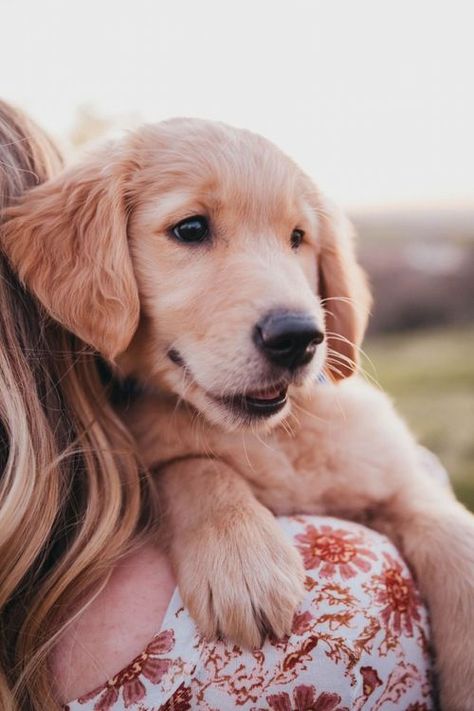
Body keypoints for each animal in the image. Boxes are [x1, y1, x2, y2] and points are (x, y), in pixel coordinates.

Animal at [0, 119, 474, 708]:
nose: (298, 338)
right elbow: (194, 466)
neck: (273, 438)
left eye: (298, 238)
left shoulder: (391, 475)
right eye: (191, 229)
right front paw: (242, 560)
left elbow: (449, 534)